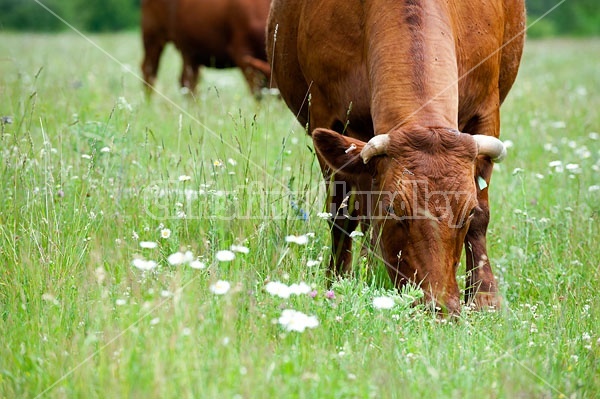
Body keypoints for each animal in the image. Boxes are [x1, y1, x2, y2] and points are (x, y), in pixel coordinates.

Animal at [141, 0, 272, 96]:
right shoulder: (241, 53)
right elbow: (257, 91)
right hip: (152, 35)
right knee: (149, 71)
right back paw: (149, 105)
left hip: (190, 51)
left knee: (188, 81)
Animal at [268, 0, 524, 316]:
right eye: (393, 209)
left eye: (467, 212)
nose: (439, 307)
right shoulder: (327, 116)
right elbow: (342, 215)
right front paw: (336, 282)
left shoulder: (487, 109)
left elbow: (483, 216)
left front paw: (484, 298)